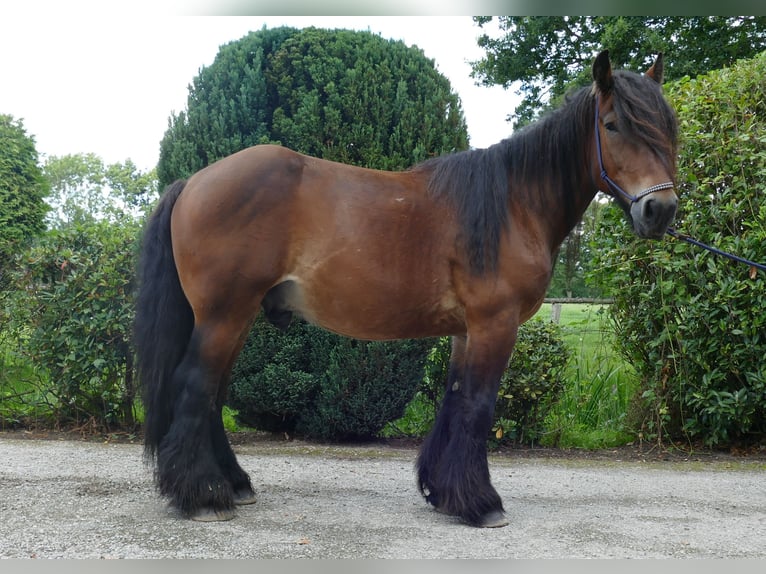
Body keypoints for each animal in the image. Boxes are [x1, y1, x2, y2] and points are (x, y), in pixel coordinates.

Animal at [134, 50, 678, 528]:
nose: (661, 210)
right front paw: (481, 504)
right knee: (197, 387)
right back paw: (204, 497)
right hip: (225, 314)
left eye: (667, 128)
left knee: (213, 394)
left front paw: (444, 493)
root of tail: (194, 182)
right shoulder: (494, 324)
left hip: (236, 317)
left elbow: (455, 401)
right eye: (613, 125)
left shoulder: (466, 331)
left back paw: (234, 484)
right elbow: (478, 407)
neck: (513, 205)